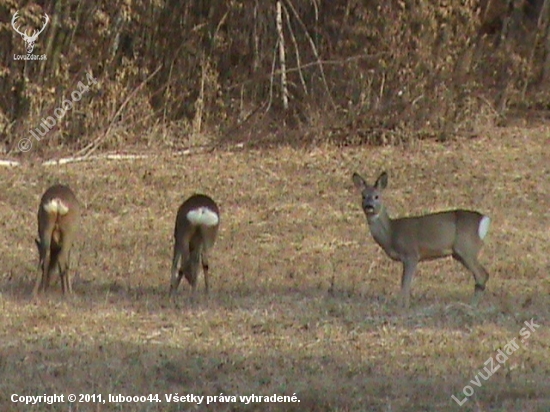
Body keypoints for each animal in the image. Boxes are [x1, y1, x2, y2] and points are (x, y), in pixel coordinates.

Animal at [356, 171, 494, 308]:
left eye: (376, 196)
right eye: (363, 196)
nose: (369, 206)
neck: (392, 232)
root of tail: (484, 220)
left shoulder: (411, 254)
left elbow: (405, 284)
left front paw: (402, 306)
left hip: (466, 248)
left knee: (482, 275)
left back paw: (471, 306)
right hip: (459, 253)